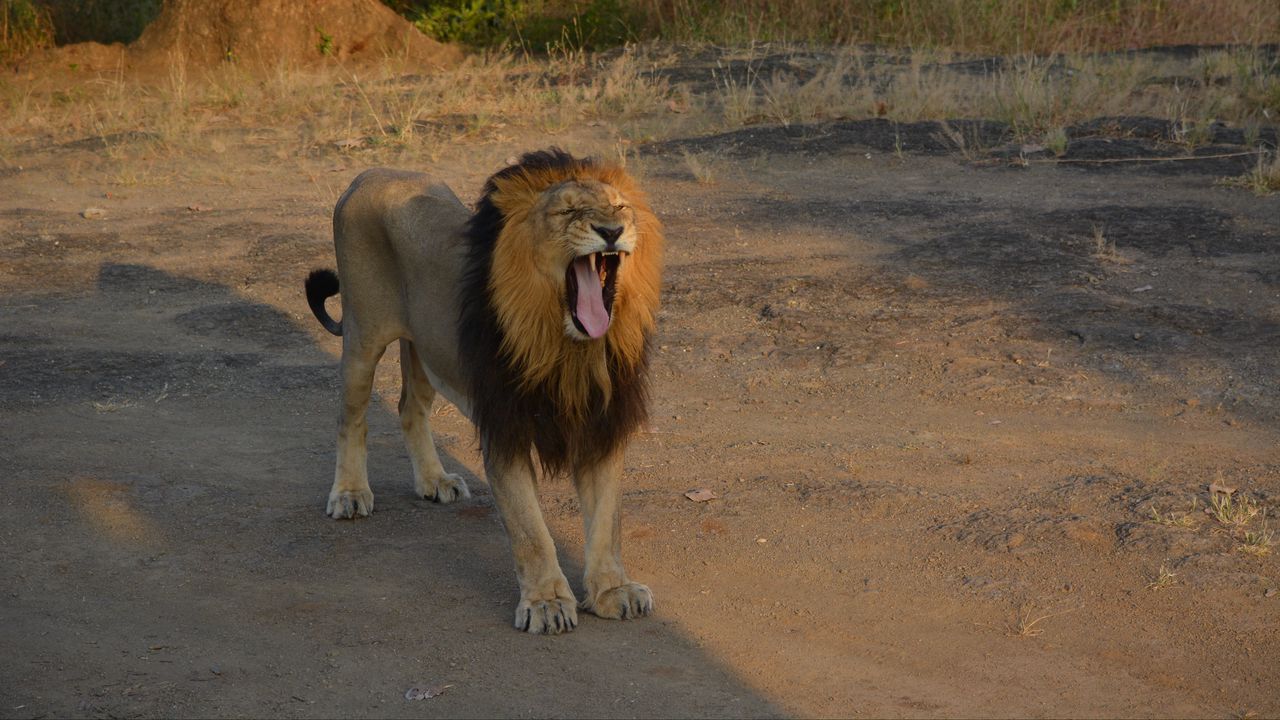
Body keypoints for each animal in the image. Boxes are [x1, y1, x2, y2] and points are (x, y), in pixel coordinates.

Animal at [299, 148, 660, 630]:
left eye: (620, 207)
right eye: (567, 212)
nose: (612, 231)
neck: (568, 346)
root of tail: (369, 173)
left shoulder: (599, 424)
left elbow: (606, 521)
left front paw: (612, 590)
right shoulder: (505, 432)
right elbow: (530, 529)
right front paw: (546, 603)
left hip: (429, 349)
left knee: (409, 408)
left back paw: (435, 481)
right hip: (363, 335)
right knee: (350, 417)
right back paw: (350, 494)